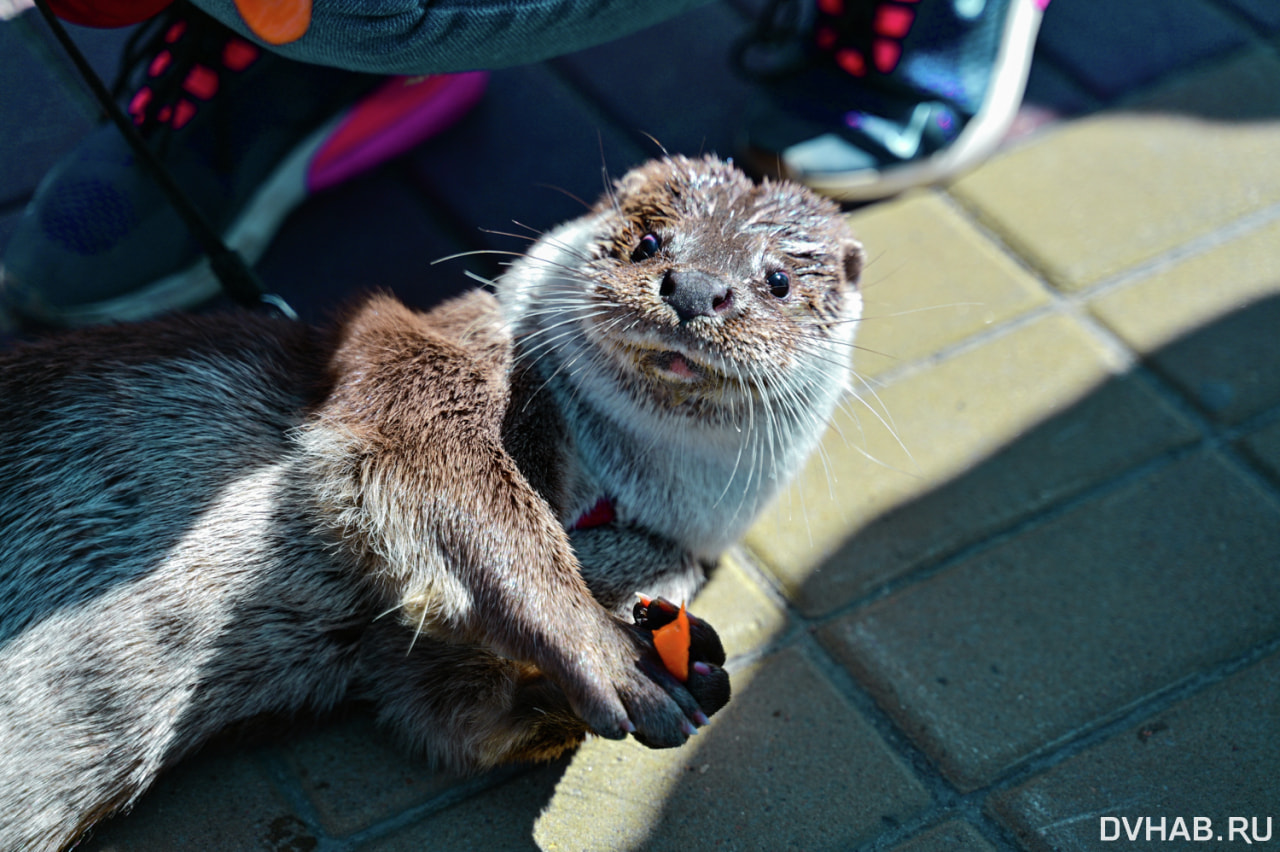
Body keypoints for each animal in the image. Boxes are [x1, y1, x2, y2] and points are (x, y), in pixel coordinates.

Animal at [0, 150, 865, 844]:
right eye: (651, 240)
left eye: (778, 280)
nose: (696, 286)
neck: (606, 485)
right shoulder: (427, 366)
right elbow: (474, 496)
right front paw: (610, 653)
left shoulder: (671, 550)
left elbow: (440, 707)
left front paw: (691, 667)